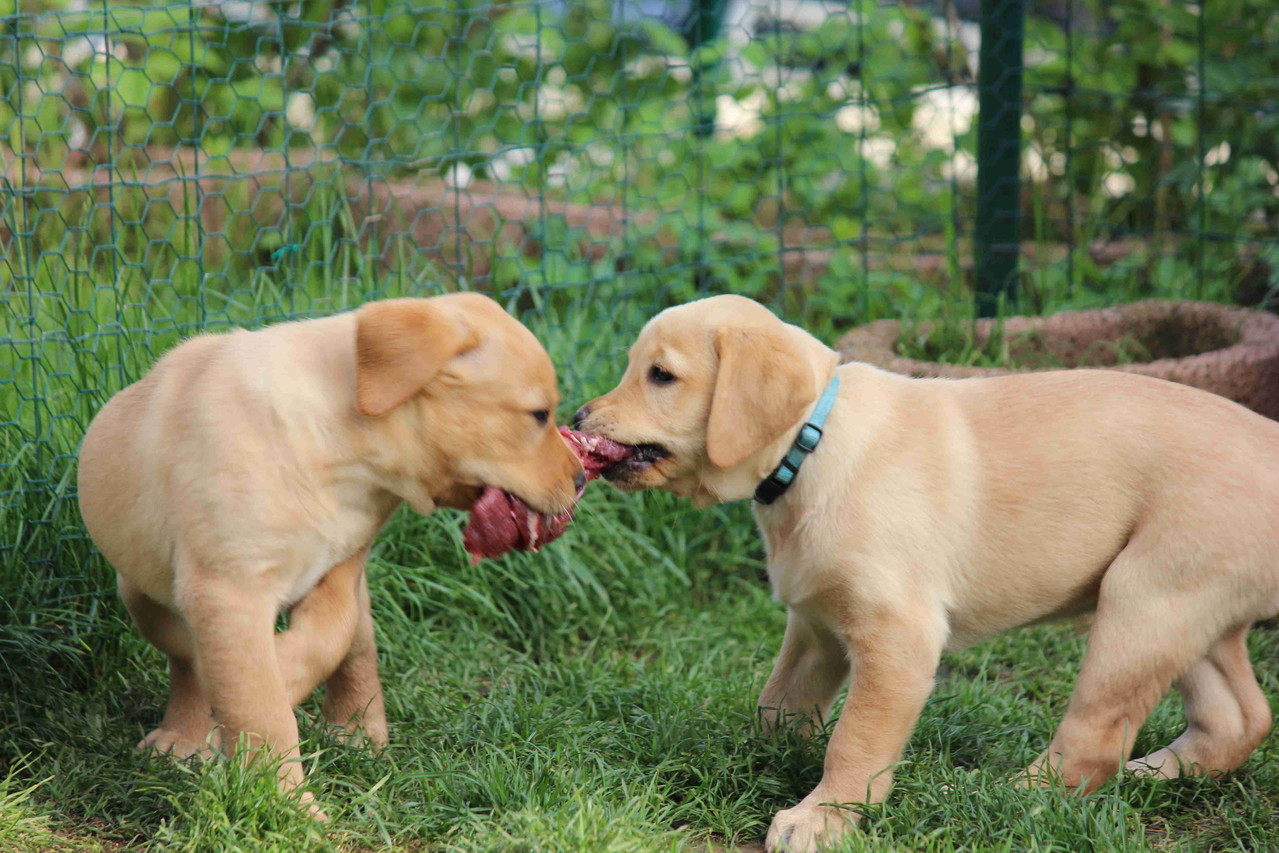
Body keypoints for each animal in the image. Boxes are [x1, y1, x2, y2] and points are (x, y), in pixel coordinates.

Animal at [77, 294, 583, 803]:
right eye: (539, 415)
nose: (581, 478)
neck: (340, 454)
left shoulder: (341, 567)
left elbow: (327, 640)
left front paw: (284, 680)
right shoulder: (227, 590)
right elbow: (256, 702)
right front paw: (289, 804)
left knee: (358, 649)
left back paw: (356, 732)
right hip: (140, 592)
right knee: (184, 659)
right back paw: (181, 738)